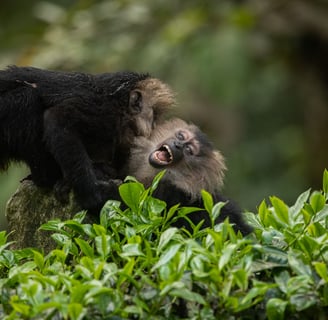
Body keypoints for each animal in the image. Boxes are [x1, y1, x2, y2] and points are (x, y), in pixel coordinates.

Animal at [0, 65, 174, 212]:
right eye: (154, 116)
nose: (153, 126)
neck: (120, 106)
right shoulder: (103, 111)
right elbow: (58, 119)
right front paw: (92, 195)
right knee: (28, 97)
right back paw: (47, 177)